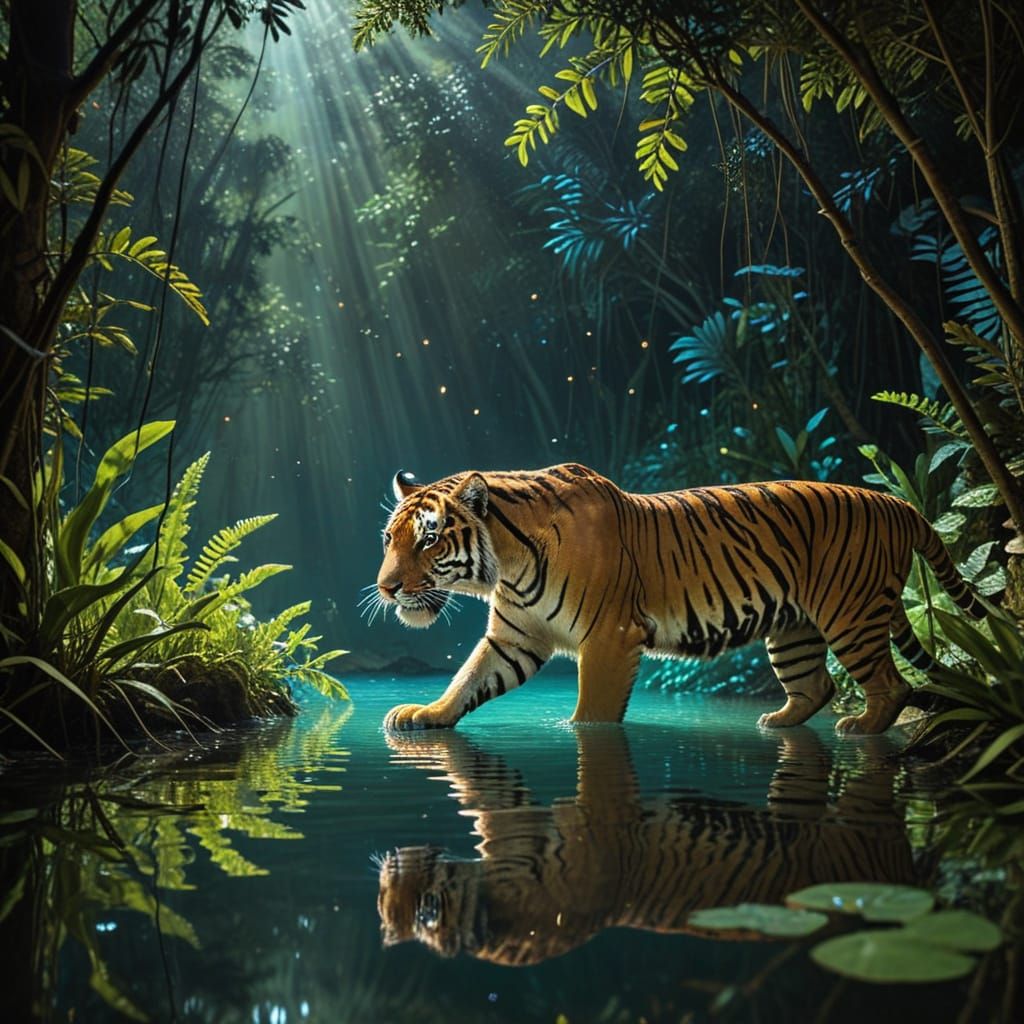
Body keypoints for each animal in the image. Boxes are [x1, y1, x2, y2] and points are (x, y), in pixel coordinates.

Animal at [375, 463, 984, 734]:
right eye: (389, 539)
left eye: (429, 539)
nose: (387, 587)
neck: (509, 562)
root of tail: (898, 504)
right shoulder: (514, 636)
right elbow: (468, 677)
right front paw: (425, 714)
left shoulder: (609, 637)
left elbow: (595, 709)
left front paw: (578, 733)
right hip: (794, 628)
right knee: (817, 685)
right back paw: (778, 722)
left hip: (849, 614)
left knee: (893, 683)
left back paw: (861, 727)